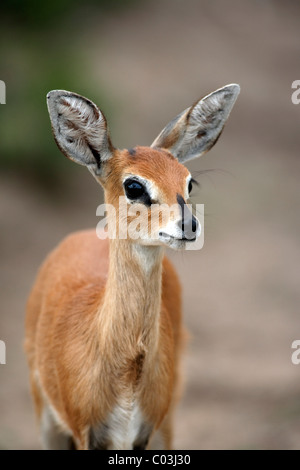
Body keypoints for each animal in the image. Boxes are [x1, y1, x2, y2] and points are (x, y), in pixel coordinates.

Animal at [26, 83, 241, 448]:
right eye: (134, 185)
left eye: (189, 182)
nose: (189, 225)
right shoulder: (86, 434)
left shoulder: (144, 433)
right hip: (47, 419)